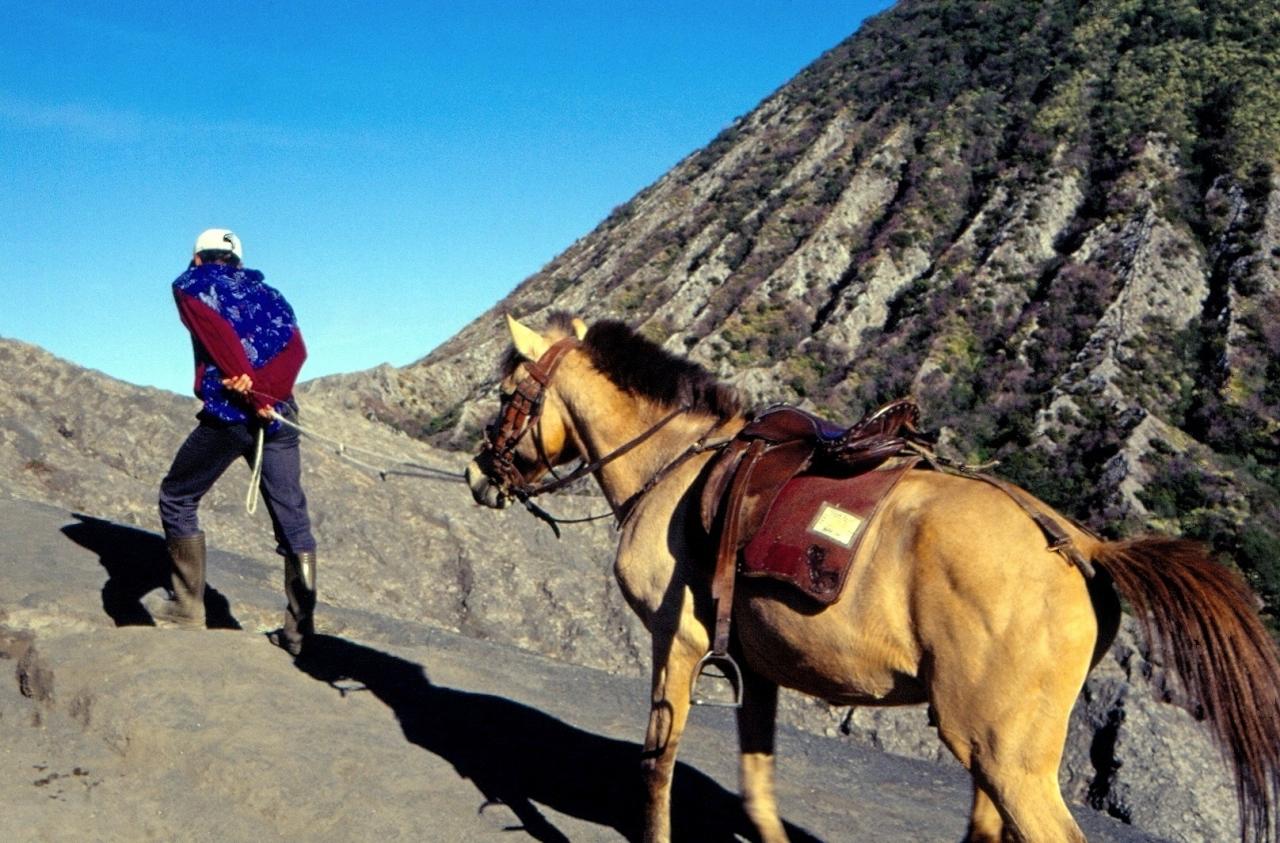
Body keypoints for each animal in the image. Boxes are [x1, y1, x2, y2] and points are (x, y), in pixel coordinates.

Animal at [468, 312, 1280, 843]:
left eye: (507, 395)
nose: (480, 474)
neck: (678, 468)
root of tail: (1077, 541)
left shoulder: (678, 642)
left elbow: (656, 763)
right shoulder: (756, 668)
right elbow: (757, 784)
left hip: (1005, 756)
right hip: (991, 753)